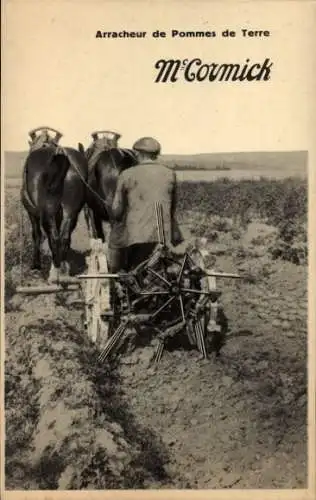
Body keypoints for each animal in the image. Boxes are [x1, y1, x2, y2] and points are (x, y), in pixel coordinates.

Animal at [21, 144, 88, 282]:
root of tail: (60, 151)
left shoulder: (32, 213)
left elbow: (36, 235)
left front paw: (36, 266)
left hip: (47, 211)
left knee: (53, 237)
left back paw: (55, 272)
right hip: (71, 210)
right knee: (64, 237)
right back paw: (62, 270)